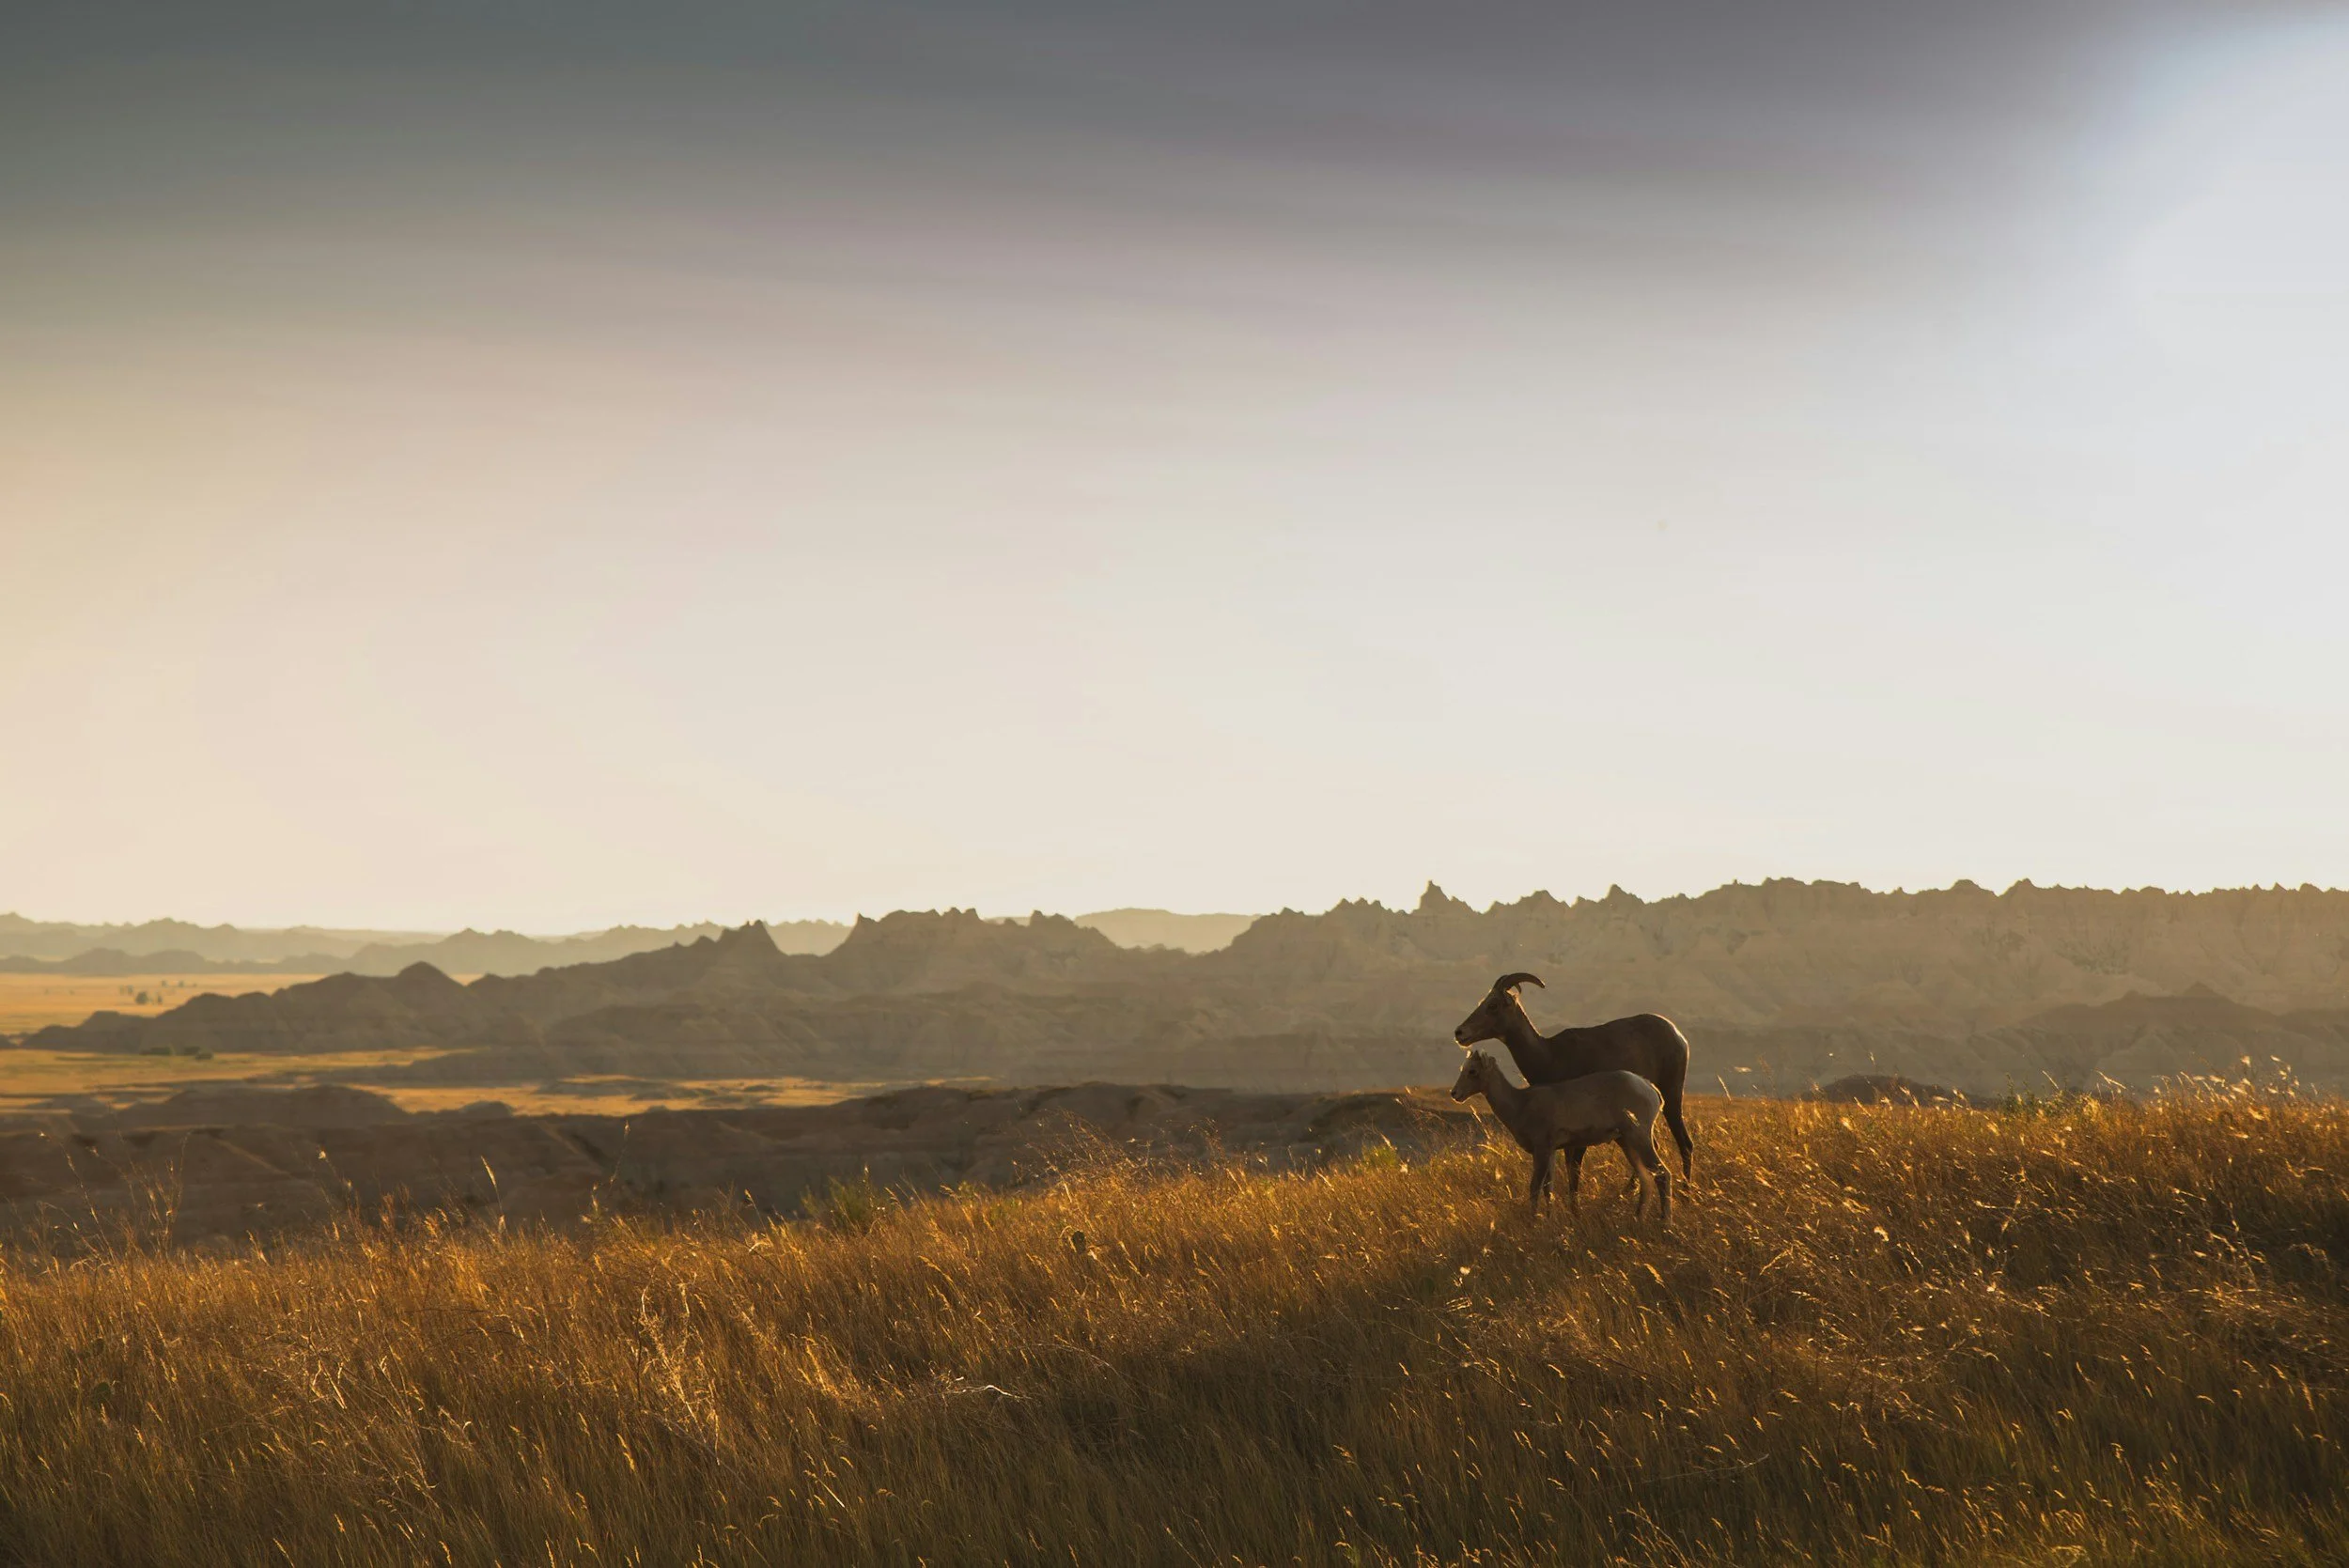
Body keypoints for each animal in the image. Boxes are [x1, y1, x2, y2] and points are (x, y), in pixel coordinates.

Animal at [1450, 1051, 1671, 1222]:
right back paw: (1638, 1219)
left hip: (1640, 1138)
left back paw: (1665, 1223)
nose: (1455, 1094)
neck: (1520, 1103)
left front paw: (1533, 1222)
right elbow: (1549, 1189)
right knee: (1646, 1178)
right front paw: (1550, 1220)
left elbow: (1535, 1187)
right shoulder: (1551, 1152)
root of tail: (1649, 1088)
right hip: (1627, 1142)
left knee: (1662, 1174)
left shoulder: (1541, 1150)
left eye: (1472, 1071)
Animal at [1453, 973, 1694, 1180]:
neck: (1549, 1055)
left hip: (1671, 1095)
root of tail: (1679, 1037)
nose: (1460, 1033)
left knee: (1685, 1144)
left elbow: (1574, 1167)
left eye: (1493, 1005)